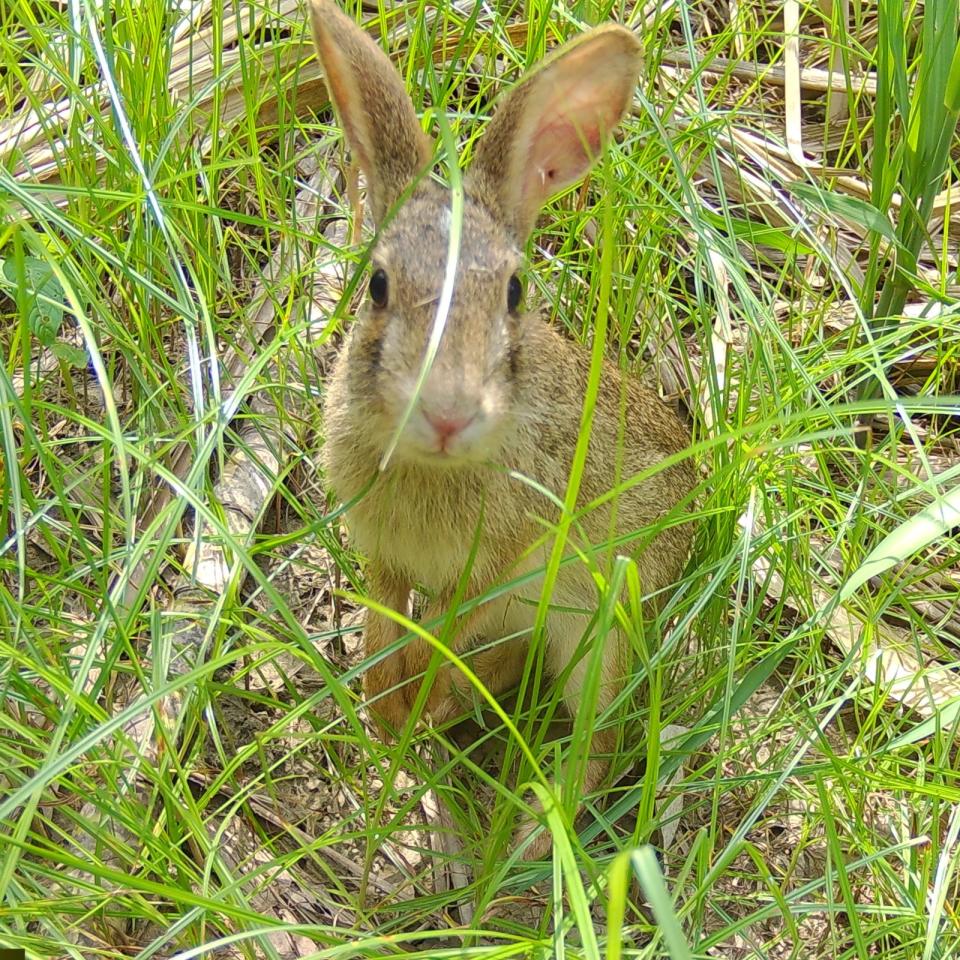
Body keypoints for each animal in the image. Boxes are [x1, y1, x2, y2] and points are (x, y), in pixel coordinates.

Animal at [312, 0, 692, 860]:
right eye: (378, 285)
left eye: (515, 293)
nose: (447, 412)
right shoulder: (382, 553)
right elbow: (390, 625)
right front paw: (387, 708)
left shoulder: (504, 562)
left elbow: (443, 631)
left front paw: (407, 708)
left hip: (604, 618)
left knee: (596, 738)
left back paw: (529, 839)